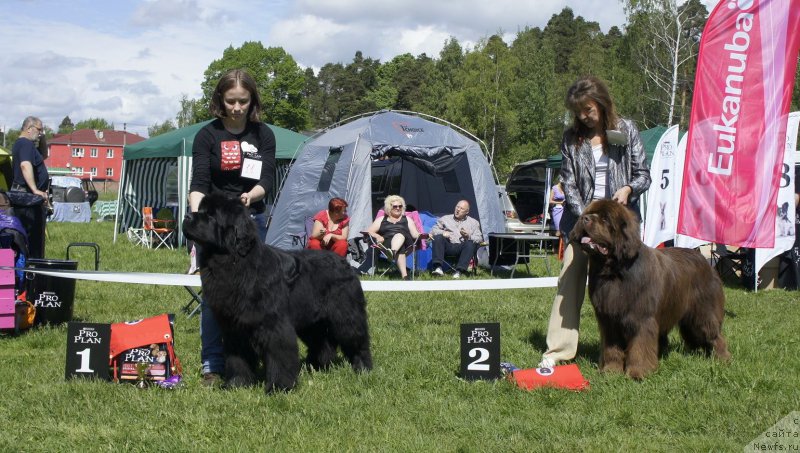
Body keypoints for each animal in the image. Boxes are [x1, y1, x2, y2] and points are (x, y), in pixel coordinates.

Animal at [568, 200, 732, 380]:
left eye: (605, 219)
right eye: (588, 213)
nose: (585, 218)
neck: (614, 272)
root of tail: (705, 261)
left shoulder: (642, 318)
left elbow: (640, 346)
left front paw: (637, 373)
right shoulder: (609, 321)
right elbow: (612, 348)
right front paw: (611, 371)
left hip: (703, 312)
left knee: (713, 334)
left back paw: (722, 358)